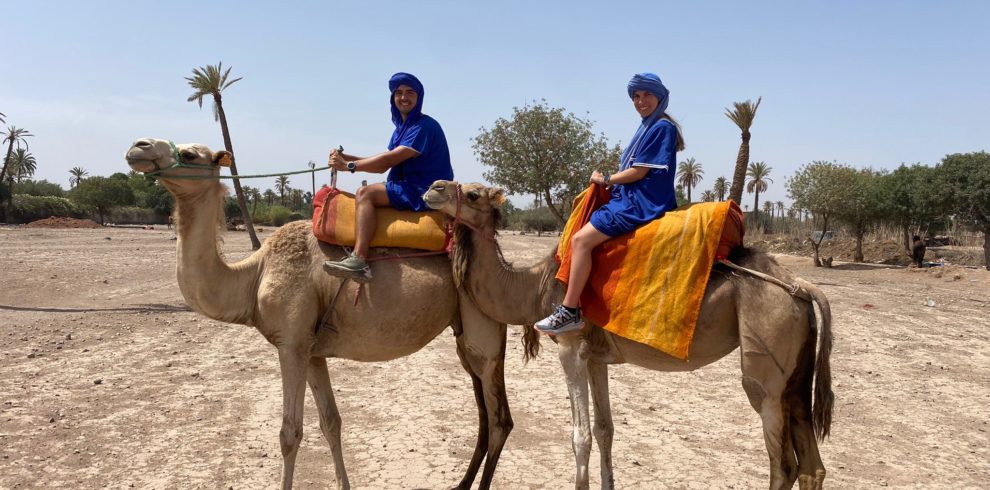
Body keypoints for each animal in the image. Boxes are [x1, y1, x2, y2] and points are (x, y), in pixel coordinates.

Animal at [124, 139, 516, 490]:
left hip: (482, 327)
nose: (138, 147)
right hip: (463, 337)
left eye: (190, 153)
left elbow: (289, 433)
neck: (255, 274)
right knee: (484, 414)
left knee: (500, 419)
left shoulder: (291, 344)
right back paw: (460, 483)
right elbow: (331, 422)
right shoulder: (313, 350)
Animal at [426, 182, 836, 488]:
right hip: (796, 375)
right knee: (812, 467)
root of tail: (800, 285)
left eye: (473, 194)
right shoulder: (595, 356)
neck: (535, 284)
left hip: (766, 362)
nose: (433, 188)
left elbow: (580, 436)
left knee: (783, 462)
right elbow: (605, 429)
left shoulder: (571, 348)